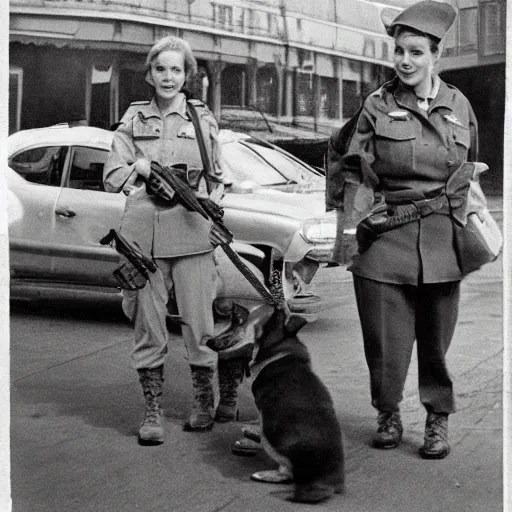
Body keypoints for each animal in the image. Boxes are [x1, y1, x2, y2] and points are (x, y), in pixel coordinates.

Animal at [248, 304, 344, 504]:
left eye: (270, 321)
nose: (278, 306)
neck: (281, 351)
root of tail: (327, 482)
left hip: (270, 437)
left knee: (287, 474)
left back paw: (264, 475)